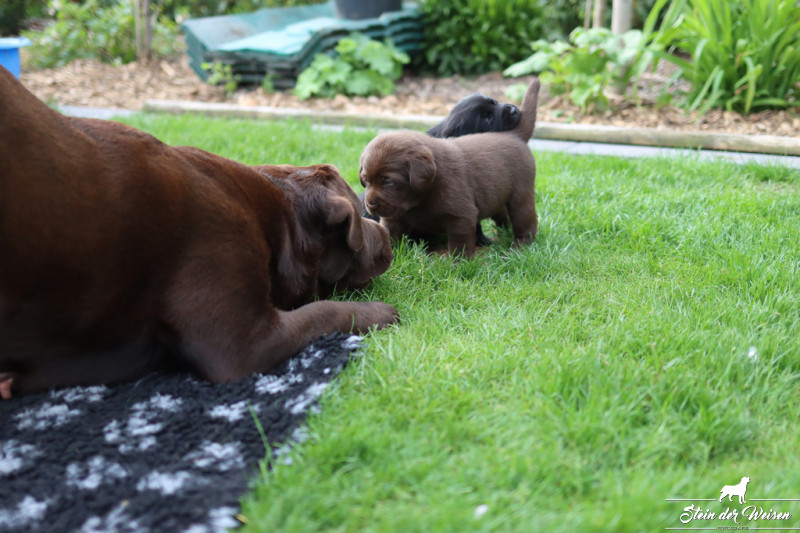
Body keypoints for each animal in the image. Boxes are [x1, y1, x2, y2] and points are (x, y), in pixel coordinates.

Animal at [0, 65, 398, 399]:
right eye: (356, 216)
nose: (389, 239)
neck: (271, 216)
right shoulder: (242, 344)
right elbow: (325, 312)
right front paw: (379, 312)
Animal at [359, 79, 540, 257]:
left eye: (388, 182)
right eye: (365, 181)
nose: (514, 109)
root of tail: (514, 135)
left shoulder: (462, 213)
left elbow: (463, 237)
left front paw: (462, 259)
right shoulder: (394, 217)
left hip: (520, 195)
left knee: (525, 220)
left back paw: (518, 248)